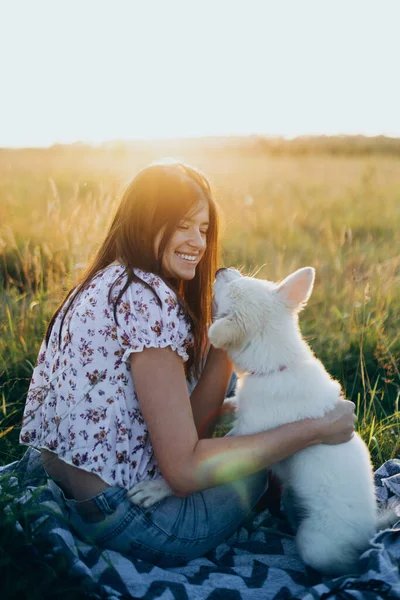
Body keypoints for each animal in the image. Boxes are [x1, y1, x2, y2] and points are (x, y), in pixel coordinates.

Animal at [128, 268, 394, 576]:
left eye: (228, 289)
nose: (220, 270)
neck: (277, 365)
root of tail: (370, 529)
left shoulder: (247, 435)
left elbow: (197, 468)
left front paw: (156, 488)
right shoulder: (242, 410)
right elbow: (227, 406)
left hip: (317, 545)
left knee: (345, 563)